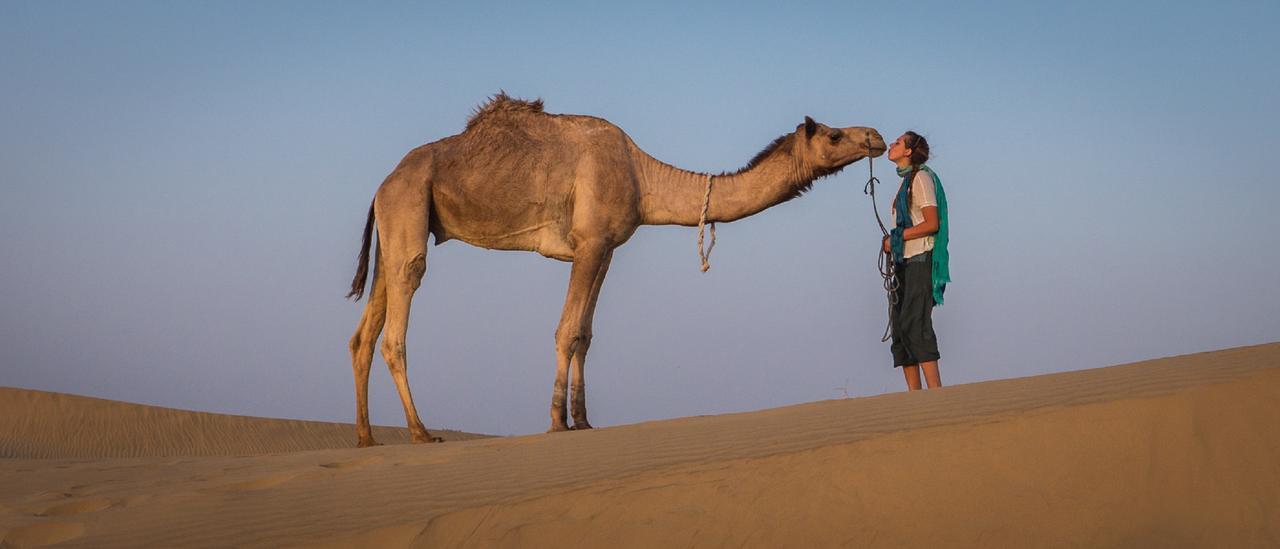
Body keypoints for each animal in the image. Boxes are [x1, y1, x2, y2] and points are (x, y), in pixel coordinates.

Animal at [350, 94, 890, 445]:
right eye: (834, 134)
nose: (878, 136)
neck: (642, 176)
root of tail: (380, 185)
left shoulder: (606, 248)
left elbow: (587, 335)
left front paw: (585, 421)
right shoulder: (588, 243)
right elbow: (567, 330)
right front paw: (556, 423)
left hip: (395, 225)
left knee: (365, 330)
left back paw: (367, 438)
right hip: (409, 210)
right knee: (397, 322)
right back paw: (420, 432)